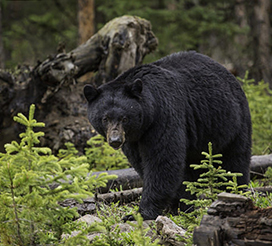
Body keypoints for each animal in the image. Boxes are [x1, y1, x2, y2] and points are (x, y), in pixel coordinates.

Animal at [83, 51, 251, 220]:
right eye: (105, 118)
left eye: (124, 118)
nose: (115, 140)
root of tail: (230, 74)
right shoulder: (134, 139)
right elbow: (142, 162)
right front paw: (177, 204)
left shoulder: (164, 116)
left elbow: (162, 160)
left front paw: (141, 213)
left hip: (231, 122)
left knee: (234, 162)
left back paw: (234, 191)